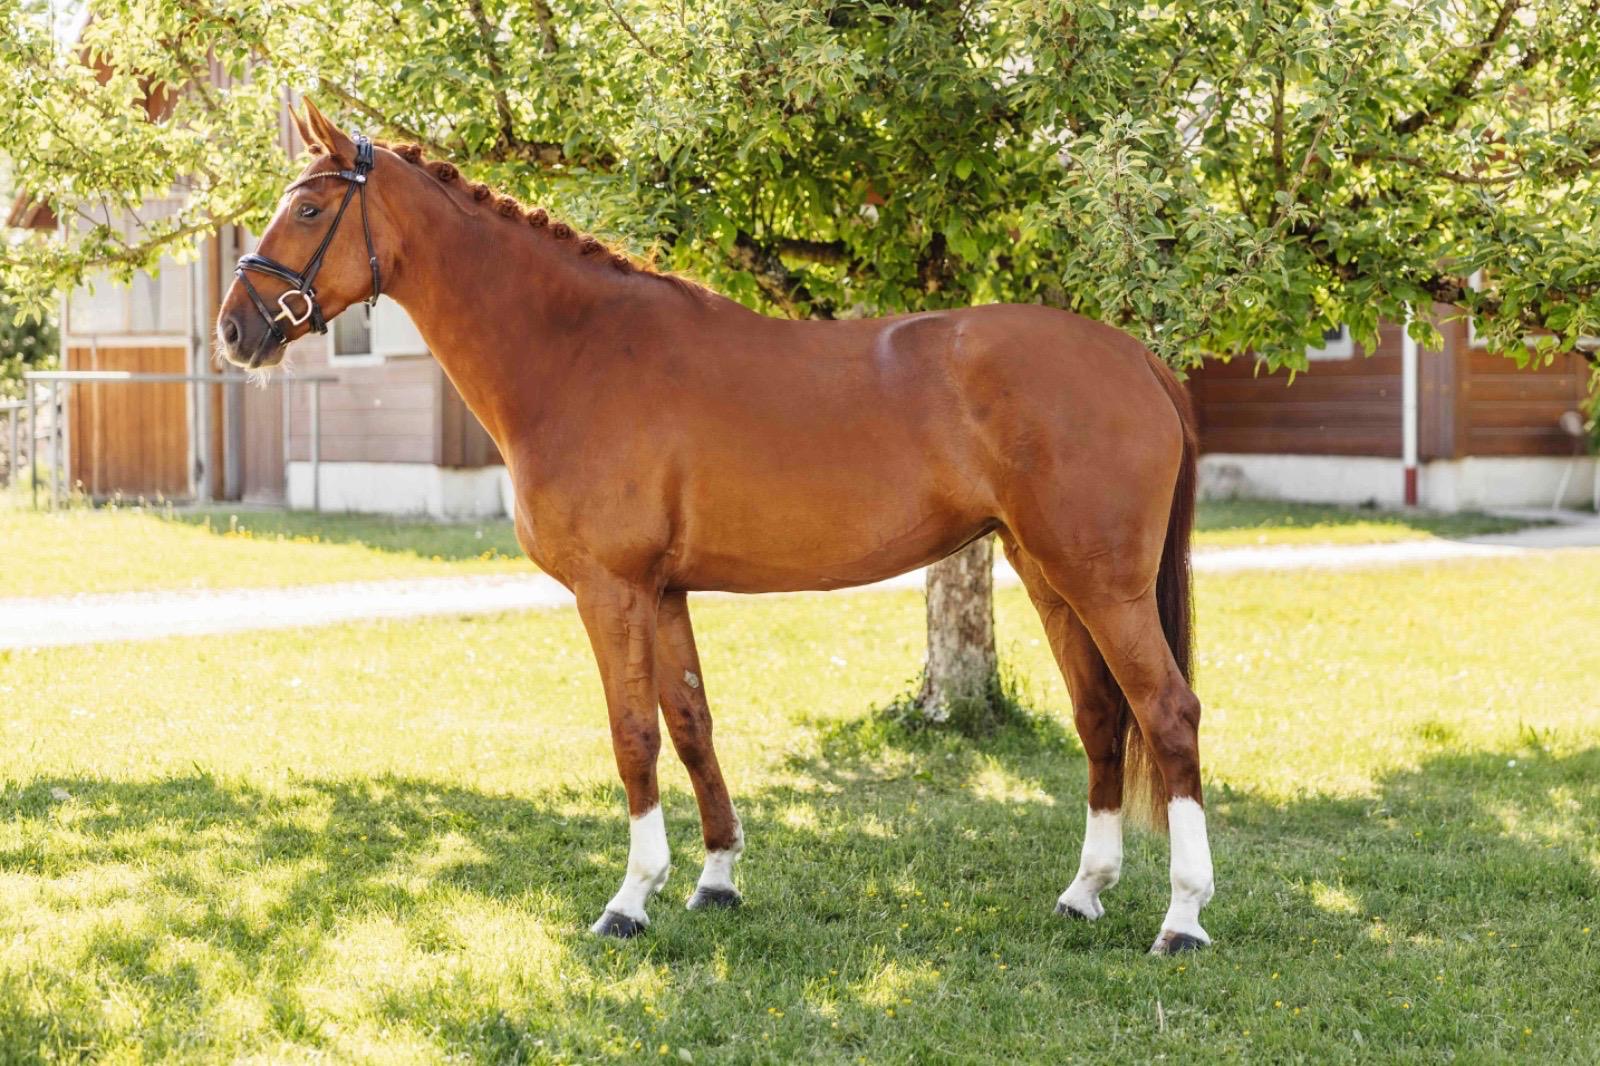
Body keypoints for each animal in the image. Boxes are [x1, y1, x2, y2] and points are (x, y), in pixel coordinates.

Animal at [217, 100, 1215, 955]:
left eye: (308, 208)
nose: (234, 331)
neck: (577, 351)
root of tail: (1136, 358)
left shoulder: (611, 589)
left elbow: (633, 734)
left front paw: (628, 899)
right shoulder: (664, 592)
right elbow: (692, 723)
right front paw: (716, 879)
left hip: (1104, 586)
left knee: (1167, 714)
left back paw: (1183, 918)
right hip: (1050, 575)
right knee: (1101, 716)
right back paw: (1084, 891)